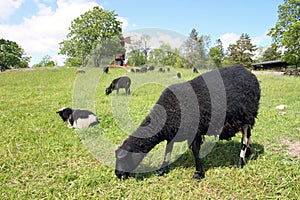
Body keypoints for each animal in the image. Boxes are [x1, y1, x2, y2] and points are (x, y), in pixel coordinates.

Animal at [115, 65, 260, 180]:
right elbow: (168, 151)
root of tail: (249, 73)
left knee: (244, 139)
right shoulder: (172, 133)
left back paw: (240, 161)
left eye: (123, 158)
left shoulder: (194, 130)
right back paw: (248, 152)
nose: (118, 175)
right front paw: (162, 170)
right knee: (248, 136)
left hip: (247, 115)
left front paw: (198, 173)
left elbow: (196, 151)